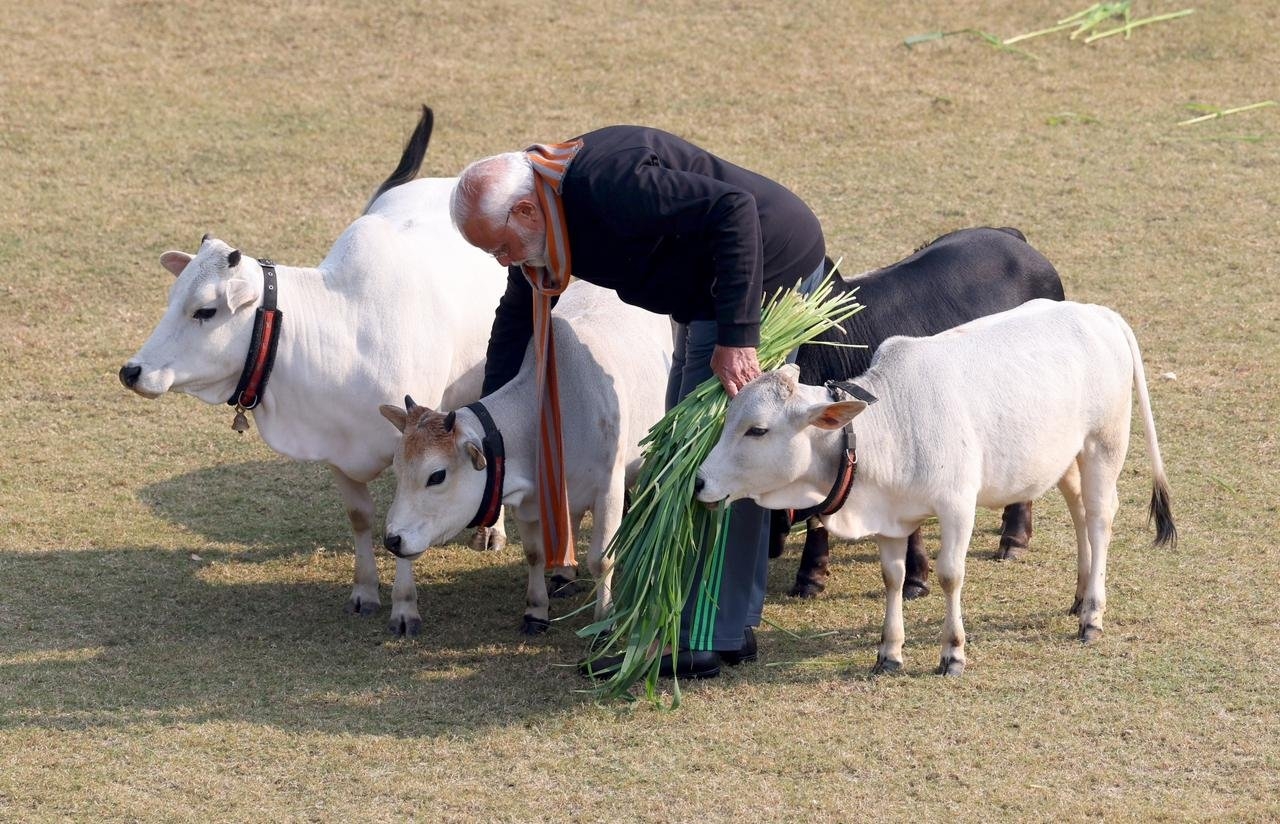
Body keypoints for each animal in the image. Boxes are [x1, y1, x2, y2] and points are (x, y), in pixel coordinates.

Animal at [120, 109, 509, 637]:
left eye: (204, 311)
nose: (131, 371)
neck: (343, 331)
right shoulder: (336, 452)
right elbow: (362, 518)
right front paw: (365, 591)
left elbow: (408, 525)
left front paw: (405, 607)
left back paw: (492, 528)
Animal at [373, 280, 670, 634]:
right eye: (397, 470)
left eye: (437, 475)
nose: (392, 539)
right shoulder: (528, 501)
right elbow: (534, 554)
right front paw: (536, 610)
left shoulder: (608, 489)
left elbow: (601, 558)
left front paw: (604, 619)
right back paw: (564, 574)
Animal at [696, 299, 1172, 670]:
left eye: (757, 430)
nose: (699, 481)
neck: (887, 425)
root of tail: (1100, 314)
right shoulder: (888, 518)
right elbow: (893, 577)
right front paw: (889, 652)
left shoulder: (958, 506)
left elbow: (949, 575)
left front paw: (952, 652)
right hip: (1065, 456)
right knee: (1079, 511)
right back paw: (1079, 595)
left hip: (1104, 445)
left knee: (1100, 519)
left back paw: (1091, 615)